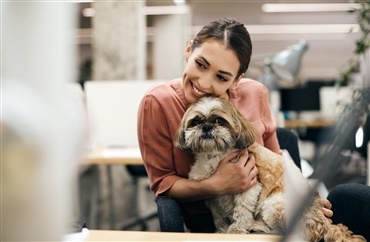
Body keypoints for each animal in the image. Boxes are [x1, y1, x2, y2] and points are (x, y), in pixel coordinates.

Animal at [175, 96, 366, 242]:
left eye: (219, 121)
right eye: (196, 122)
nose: (207, 127)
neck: (214, 156)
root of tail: (323, 224)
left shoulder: (249, 186)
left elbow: (242, 211)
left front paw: (236, 230)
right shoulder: (213, 196)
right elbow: (218, 216)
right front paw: (221, 230)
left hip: (274, 204)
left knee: (282, 231)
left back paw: (256, 226)